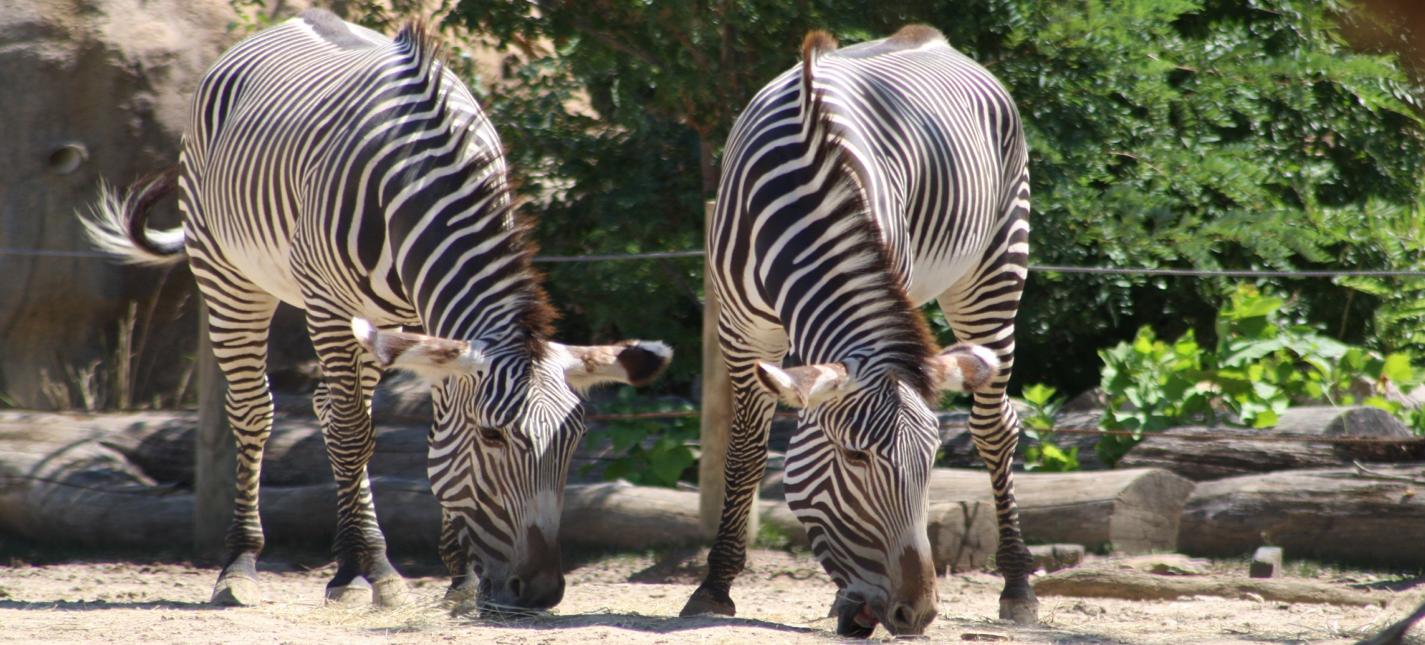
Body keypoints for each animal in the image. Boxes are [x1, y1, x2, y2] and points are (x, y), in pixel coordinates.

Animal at [80, 11, 669, 612]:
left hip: (376, 321)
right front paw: (372, 572)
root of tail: (292, 19)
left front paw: (458, 576)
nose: (543, 591)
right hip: (228, 273)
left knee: (328, 405)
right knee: (259, 411)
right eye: (493, 437)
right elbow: (354, 436)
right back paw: (246, 565)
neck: (425, 178)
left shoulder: (433, 320)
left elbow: (432, 441)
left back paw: (356, 562)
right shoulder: (329, 305)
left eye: (574, 440)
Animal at [681, 25, 1037, 632]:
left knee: (996, 427)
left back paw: (1017, 586)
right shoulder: (741, 331)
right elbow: (746, 453)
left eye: (931, 461)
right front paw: (715, 587)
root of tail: (931, 39)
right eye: (854, 458)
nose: (917, 613)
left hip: (994, 269)